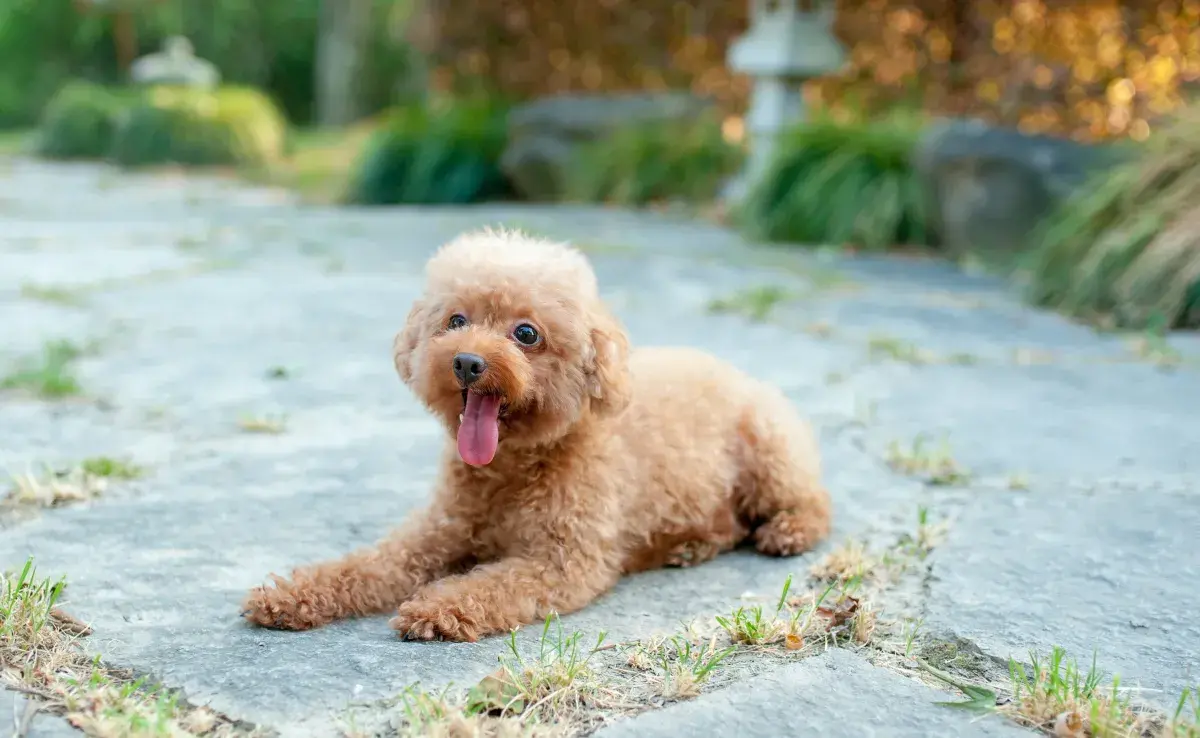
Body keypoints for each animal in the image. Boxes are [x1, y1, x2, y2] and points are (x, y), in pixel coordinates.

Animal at [238, 229, 830, 643]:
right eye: (455, 320)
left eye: (527, 333)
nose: (468, 362)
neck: (512, 467)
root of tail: (741, 374)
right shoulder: (435, 533)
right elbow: (370, 565)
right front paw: (290, 595)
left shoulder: (563, 560)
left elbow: (492, 584)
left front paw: (438, 607)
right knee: (728, 524)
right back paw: (687, 546)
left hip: (770, 444)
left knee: (812, 504)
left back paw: (787, 531)